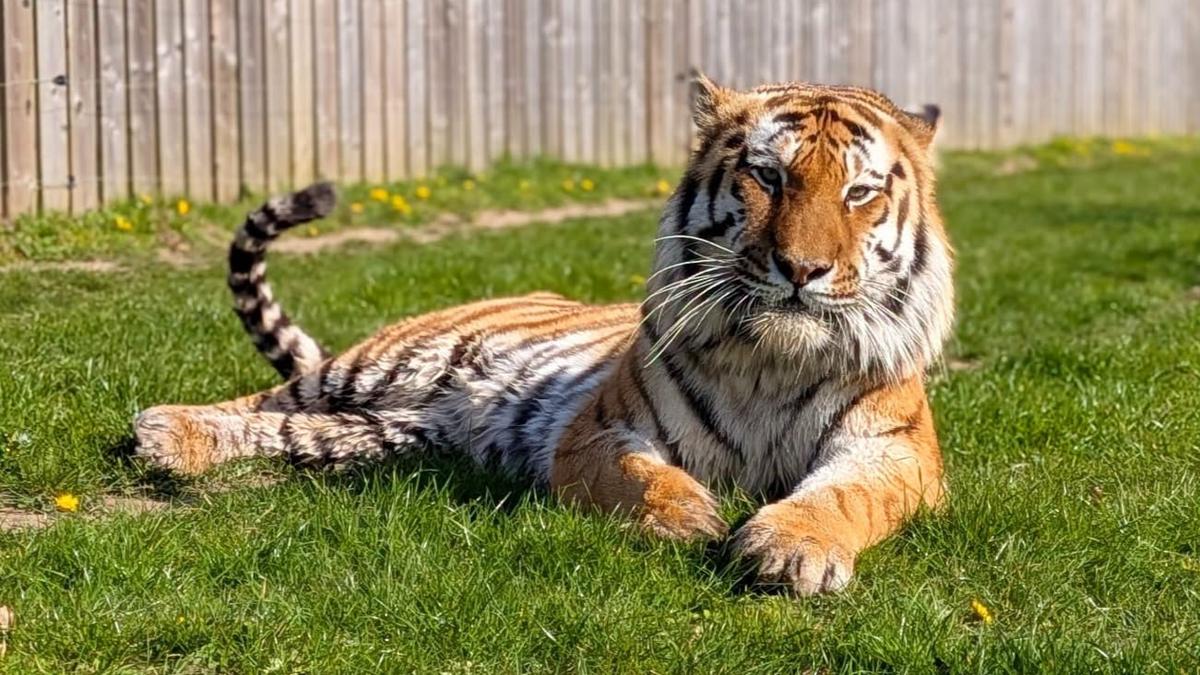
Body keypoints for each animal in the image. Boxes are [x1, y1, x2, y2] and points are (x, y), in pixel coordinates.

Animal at [134, 75, 954, 596]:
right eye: (768, 176)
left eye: (859, 192)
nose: (802, 268)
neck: (773, 360)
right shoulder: (598, 430)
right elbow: (641, 476)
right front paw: (690, 517)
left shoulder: (895, 451)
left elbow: (845, 496)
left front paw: (792, 547)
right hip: (383, 363)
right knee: (266, 399)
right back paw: (165, 431)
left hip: (384, 433)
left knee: (293, 429)